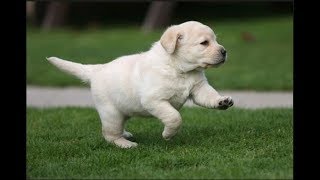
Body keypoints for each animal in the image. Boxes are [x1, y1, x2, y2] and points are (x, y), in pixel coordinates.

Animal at [47, 21, 232, 148]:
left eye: (215, 40)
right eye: (204, 43)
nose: (224, 51)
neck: (178, 68)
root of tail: (97, 70)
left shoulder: (199, 88)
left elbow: (209, 96)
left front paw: (222, 101)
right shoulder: (153, 100)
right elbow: (174, 117)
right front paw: (168, 134)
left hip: (122, 110)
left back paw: (126, 135)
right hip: (111, 112)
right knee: (109, 134)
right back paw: (125, 144)